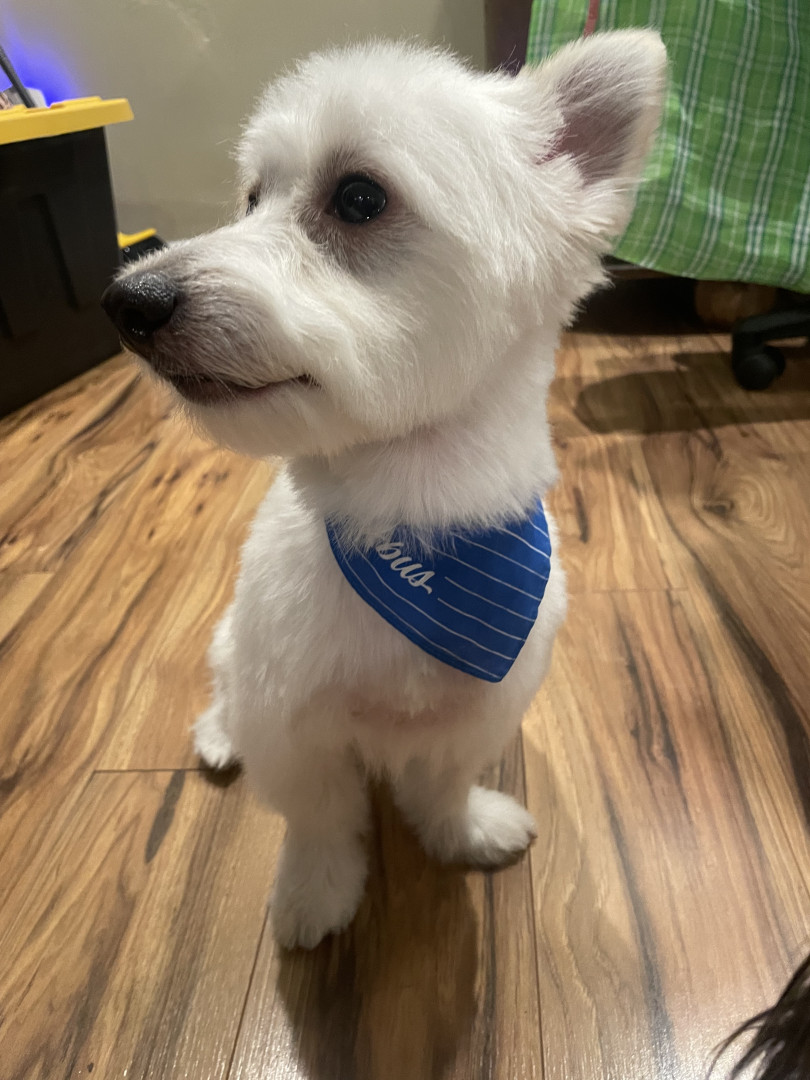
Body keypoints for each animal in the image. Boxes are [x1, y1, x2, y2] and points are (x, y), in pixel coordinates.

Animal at [103, 33, 666, 949]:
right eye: (252, 198)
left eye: (359, 197)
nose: (128, 301)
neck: (408, 520)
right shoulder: (294, 728)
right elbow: (321, 822)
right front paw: (315, 892)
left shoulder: (475, 710)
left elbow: (440, 788)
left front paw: (461, 833)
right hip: (235, 645)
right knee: (224, 687)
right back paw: (219, 734)